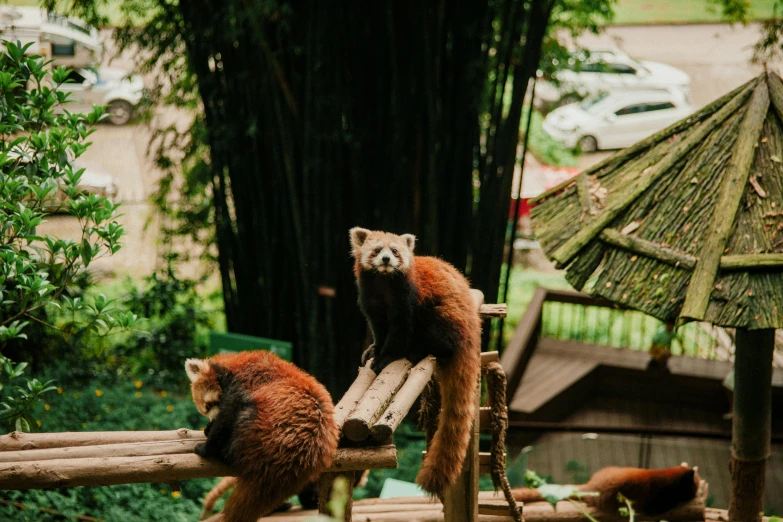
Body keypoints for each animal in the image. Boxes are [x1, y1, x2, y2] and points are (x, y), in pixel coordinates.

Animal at [188, 350, 342, 520]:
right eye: (205, 409)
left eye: (209, 405)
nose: (211, 419)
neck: (232, 367)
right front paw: (208, 428)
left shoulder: (240, 386)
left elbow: (227, 416)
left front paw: (205, 446)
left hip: (262, 430)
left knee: (245, 418)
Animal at [350, 226, 484, 496]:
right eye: (377, 250)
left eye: (395, 251)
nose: (386, 260)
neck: (383, 284)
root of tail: (472, 332)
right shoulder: (371, 303)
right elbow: (379, 330)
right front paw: (373, 350)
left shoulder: (407, 301)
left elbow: (400, 333)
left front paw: (385, 358)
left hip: (443, 315)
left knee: (439, 338)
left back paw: (417, 351)